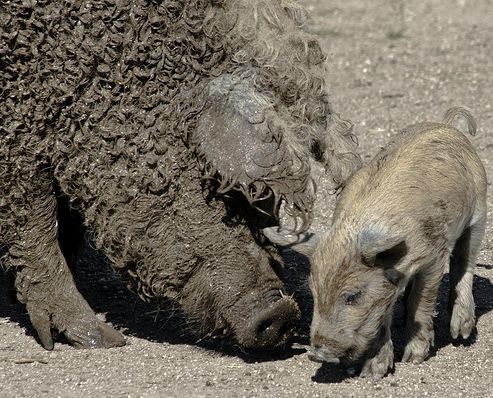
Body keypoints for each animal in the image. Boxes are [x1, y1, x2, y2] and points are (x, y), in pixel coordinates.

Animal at [0, 0, 362, 350]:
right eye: (220, 194)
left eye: (265, 209)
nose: (283, 312)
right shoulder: (19, 134)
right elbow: (35, 222)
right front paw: (103, 341)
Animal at [266, 108, 484, 376]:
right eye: (314, 292)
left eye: (353, 296)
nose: (316, 355)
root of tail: (445, 125)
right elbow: (383, 314)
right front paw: (373, 373)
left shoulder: (434, 256)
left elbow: (421, 301)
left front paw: (413, 359)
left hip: (480, 211)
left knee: (464, 263)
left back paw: (460, 334)